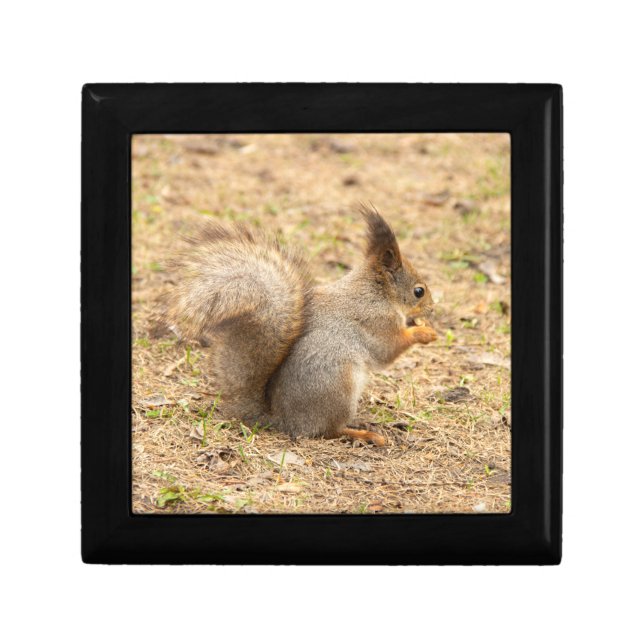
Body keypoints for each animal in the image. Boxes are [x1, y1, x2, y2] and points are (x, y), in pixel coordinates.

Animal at [162, 205, 437, 446]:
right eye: (419, 291)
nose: (432, 310)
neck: (377, 292)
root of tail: (284, 420)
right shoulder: (377, 321)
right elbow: (388, 350)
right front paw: (424, 332)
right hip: (338, 387)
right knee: (328, 431)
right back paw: (363, 434)